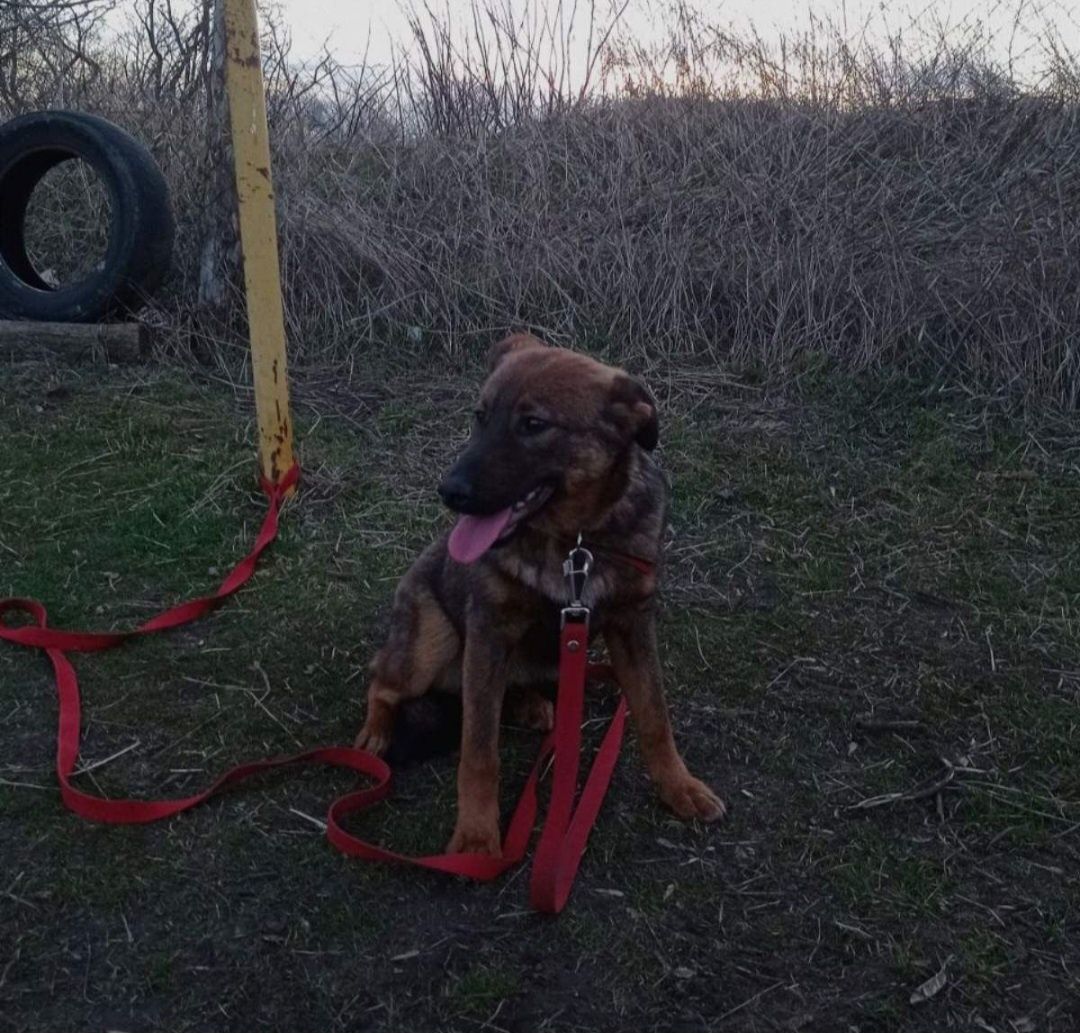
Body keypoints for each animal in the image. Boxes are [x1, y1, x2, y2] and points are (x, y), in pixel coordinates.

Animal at [356, 332, 725, 855]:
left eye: (534, 425)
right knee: (383, 680)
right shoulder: (489, 630)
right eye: (480, 416)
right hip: (430, 644)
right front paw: (476, 839)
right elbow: (479, 750)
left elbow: (655, 716)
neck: (575, 543)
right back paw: (375, 733)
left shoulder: (632, 625)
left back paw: (530, 703)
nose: (449, 492)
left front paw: (678, 786)